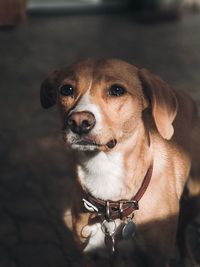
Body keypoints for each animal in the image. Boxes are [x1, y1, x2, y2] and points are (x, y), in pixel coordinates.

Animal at [39, 59, 200, 266]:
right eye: (66, 89)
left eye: (117, 90)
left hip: (193, 200)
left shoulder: (158, 258)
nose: (79, 121)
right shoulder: (91, 257)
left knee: (182, 231)